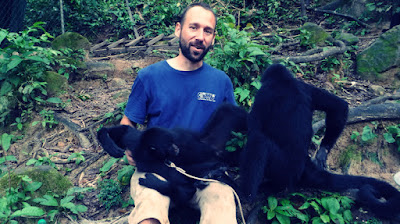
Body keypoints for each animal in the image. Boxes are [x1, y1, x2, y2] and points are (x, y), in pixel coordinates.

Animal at [241, 63, 400, 220]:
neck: (285, 82)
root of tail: (304, 164)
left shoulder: (264, 94)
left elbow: (254, 127)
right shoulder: (306, 87)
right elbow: (339, 106)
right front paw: (323, 151)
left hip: (282, 167)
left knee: (259, 140)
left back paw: (250, 194)